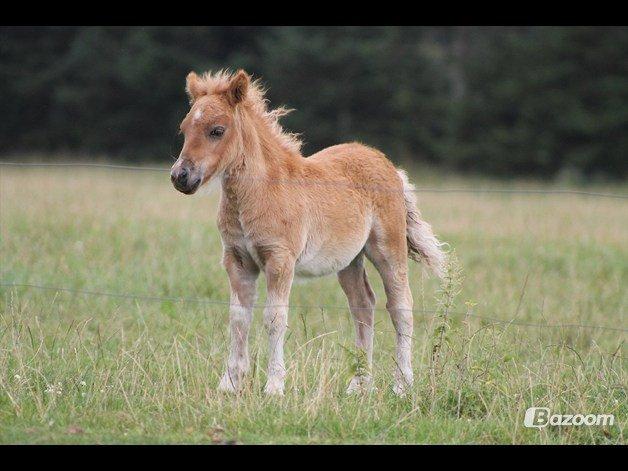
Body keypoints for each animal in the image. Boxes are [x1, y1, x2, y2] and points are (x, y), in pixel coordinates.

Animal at [172, 69, 446, 394]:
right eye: (184, 129)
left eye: (217, 130)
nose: (180, 176)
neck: (260, 193)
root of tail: (390, 167)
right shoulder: (237, 260)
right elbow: (238, 318)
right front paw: (229, 384)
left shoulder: (280, 260)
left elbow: (274, 318)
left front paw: (274, 386)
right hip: (349, 260)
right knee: (363, 306)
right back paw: (358, 385)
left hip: (388, 249)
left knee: (401, 307)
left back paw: (402, 385)